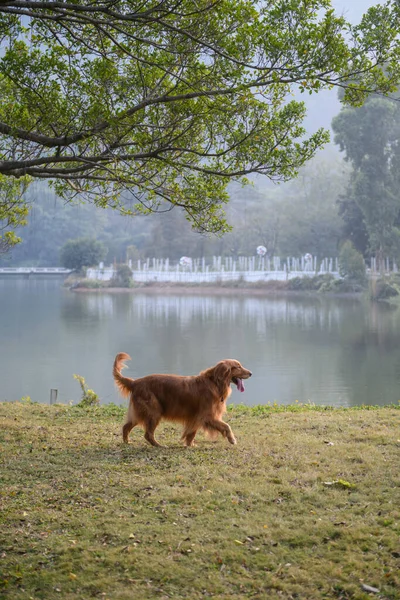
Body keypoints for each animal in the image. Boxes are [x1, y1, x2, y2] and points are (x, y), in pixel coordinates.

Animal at [112, 354, 252, 448]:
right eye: (238, 367)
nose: (250, 373)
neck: (215, 382)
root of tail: (135, 382)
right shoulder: (207, 416)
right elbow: (226, 426)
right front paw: (232, 439)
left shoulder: (197, 417)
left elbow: (192, 432)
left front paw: (190, 444)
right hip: (154, 412)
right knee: (148, 434)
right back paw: (159, 445)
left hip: (141, 412)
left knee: (126, 426)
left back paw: (127, 442)